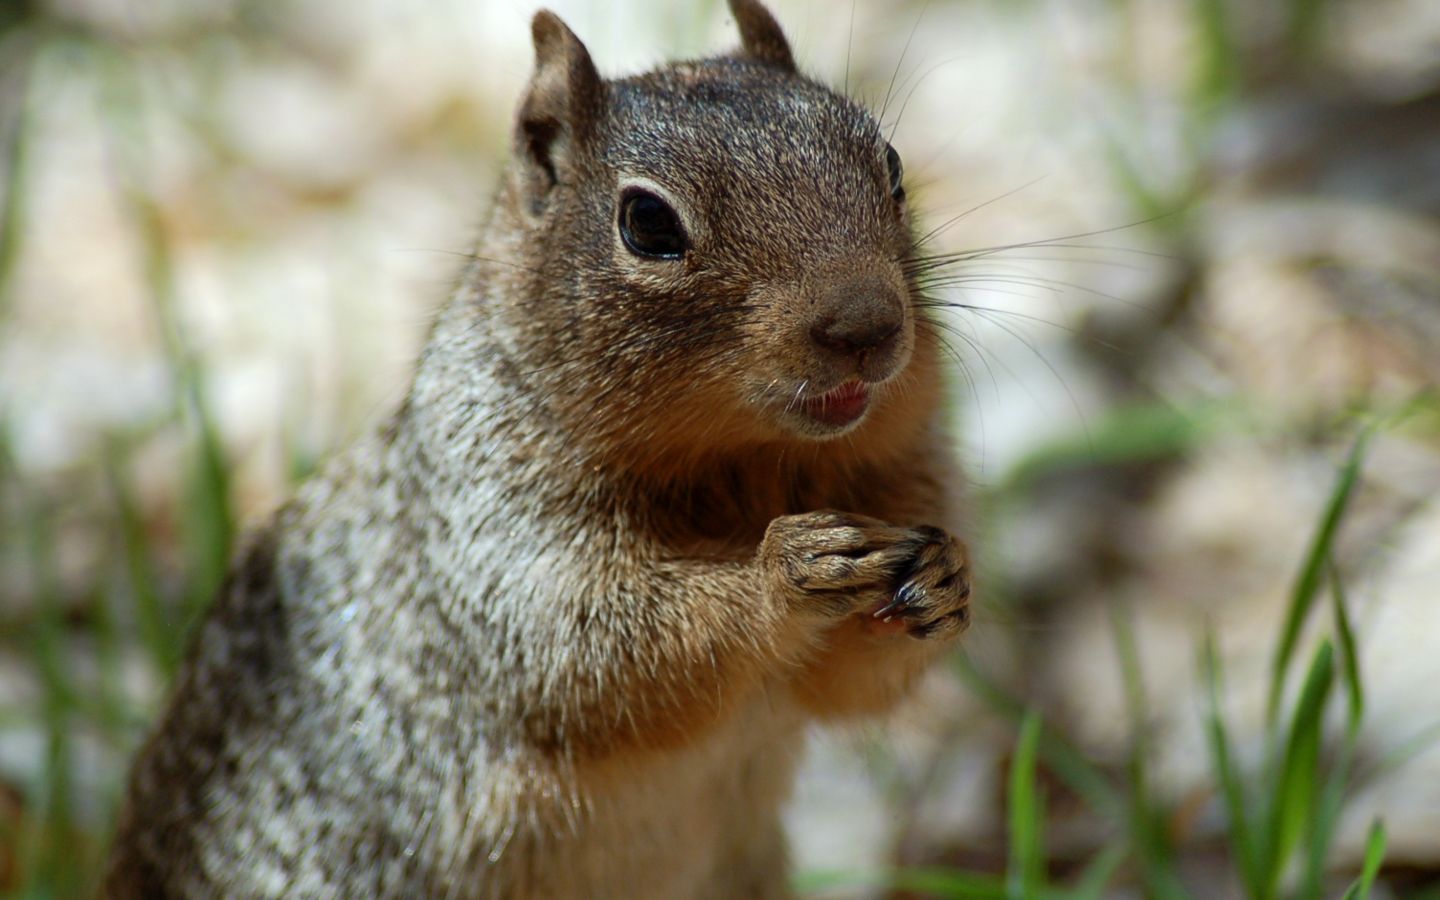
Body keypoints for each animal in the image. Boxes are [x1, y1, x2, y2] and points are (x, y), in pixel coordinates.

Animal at [101, 0, 973, 892]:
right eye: (647, 222)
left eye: (891, 164)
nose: (867, 326)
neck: (749, 464)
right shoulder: (487, 516)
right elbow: (586, 651)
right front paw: (787, 571)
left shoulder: (904, 474)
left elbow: (849, 687)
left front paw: (948, 577)